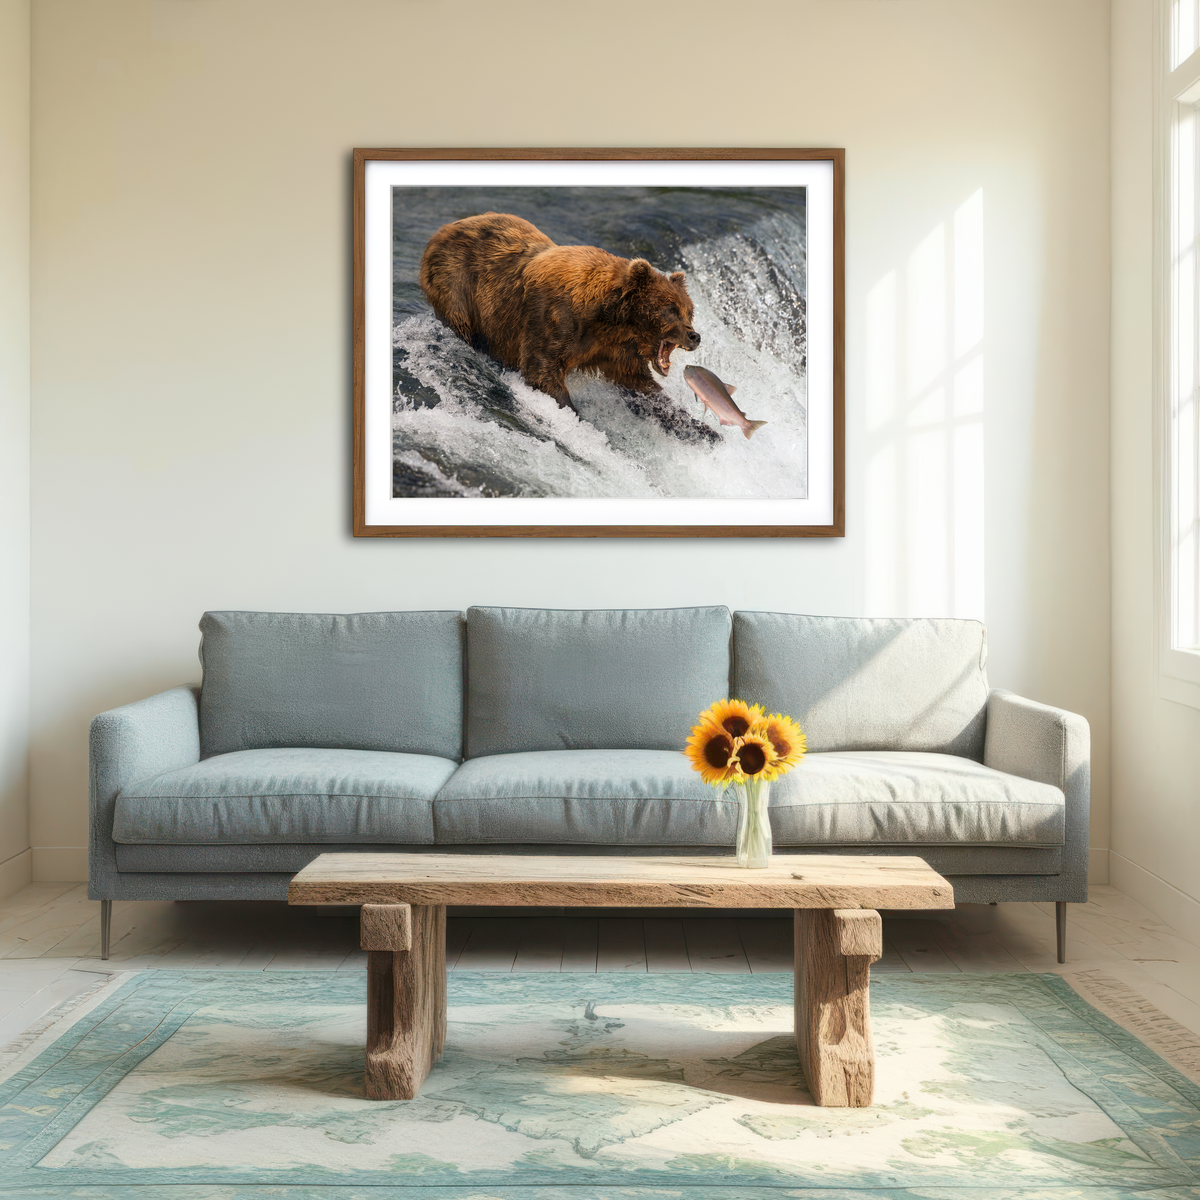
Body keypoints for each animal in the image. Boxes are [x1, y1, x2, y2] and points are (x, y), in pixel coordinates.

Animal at [418, 212, 701, 413]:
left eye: (689, 312)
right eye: (670, 310)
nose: (695, 336)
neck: (610, 318)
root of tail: (444, 229)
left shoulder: (614, 349)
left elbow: (640, 383)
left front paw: (699, 429)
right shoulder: (555, 318)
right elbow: (541, 370)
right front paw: (572, 412)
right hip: (457, 283)